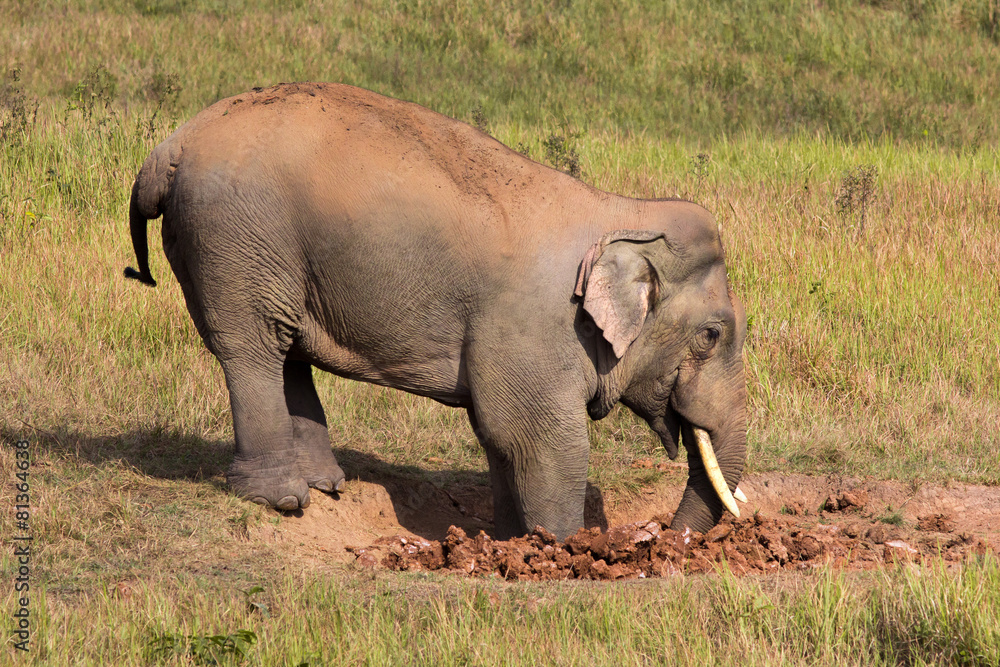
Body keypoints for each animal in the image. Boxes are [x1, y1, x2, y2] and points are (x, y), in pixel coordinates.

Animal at [125, 82, 747, 540]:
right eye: (712, 335)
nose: (668, 538)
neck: (621, 213)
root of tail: (168, 149)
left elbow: (498, 437)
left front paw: (509, 540)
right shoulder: (536, 330)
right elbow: (540, 438)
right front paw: (563, 548)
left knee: (287, 351)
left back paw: (326, 485)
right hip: (236, 240)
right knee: (252, 347)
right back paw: (282, 498)